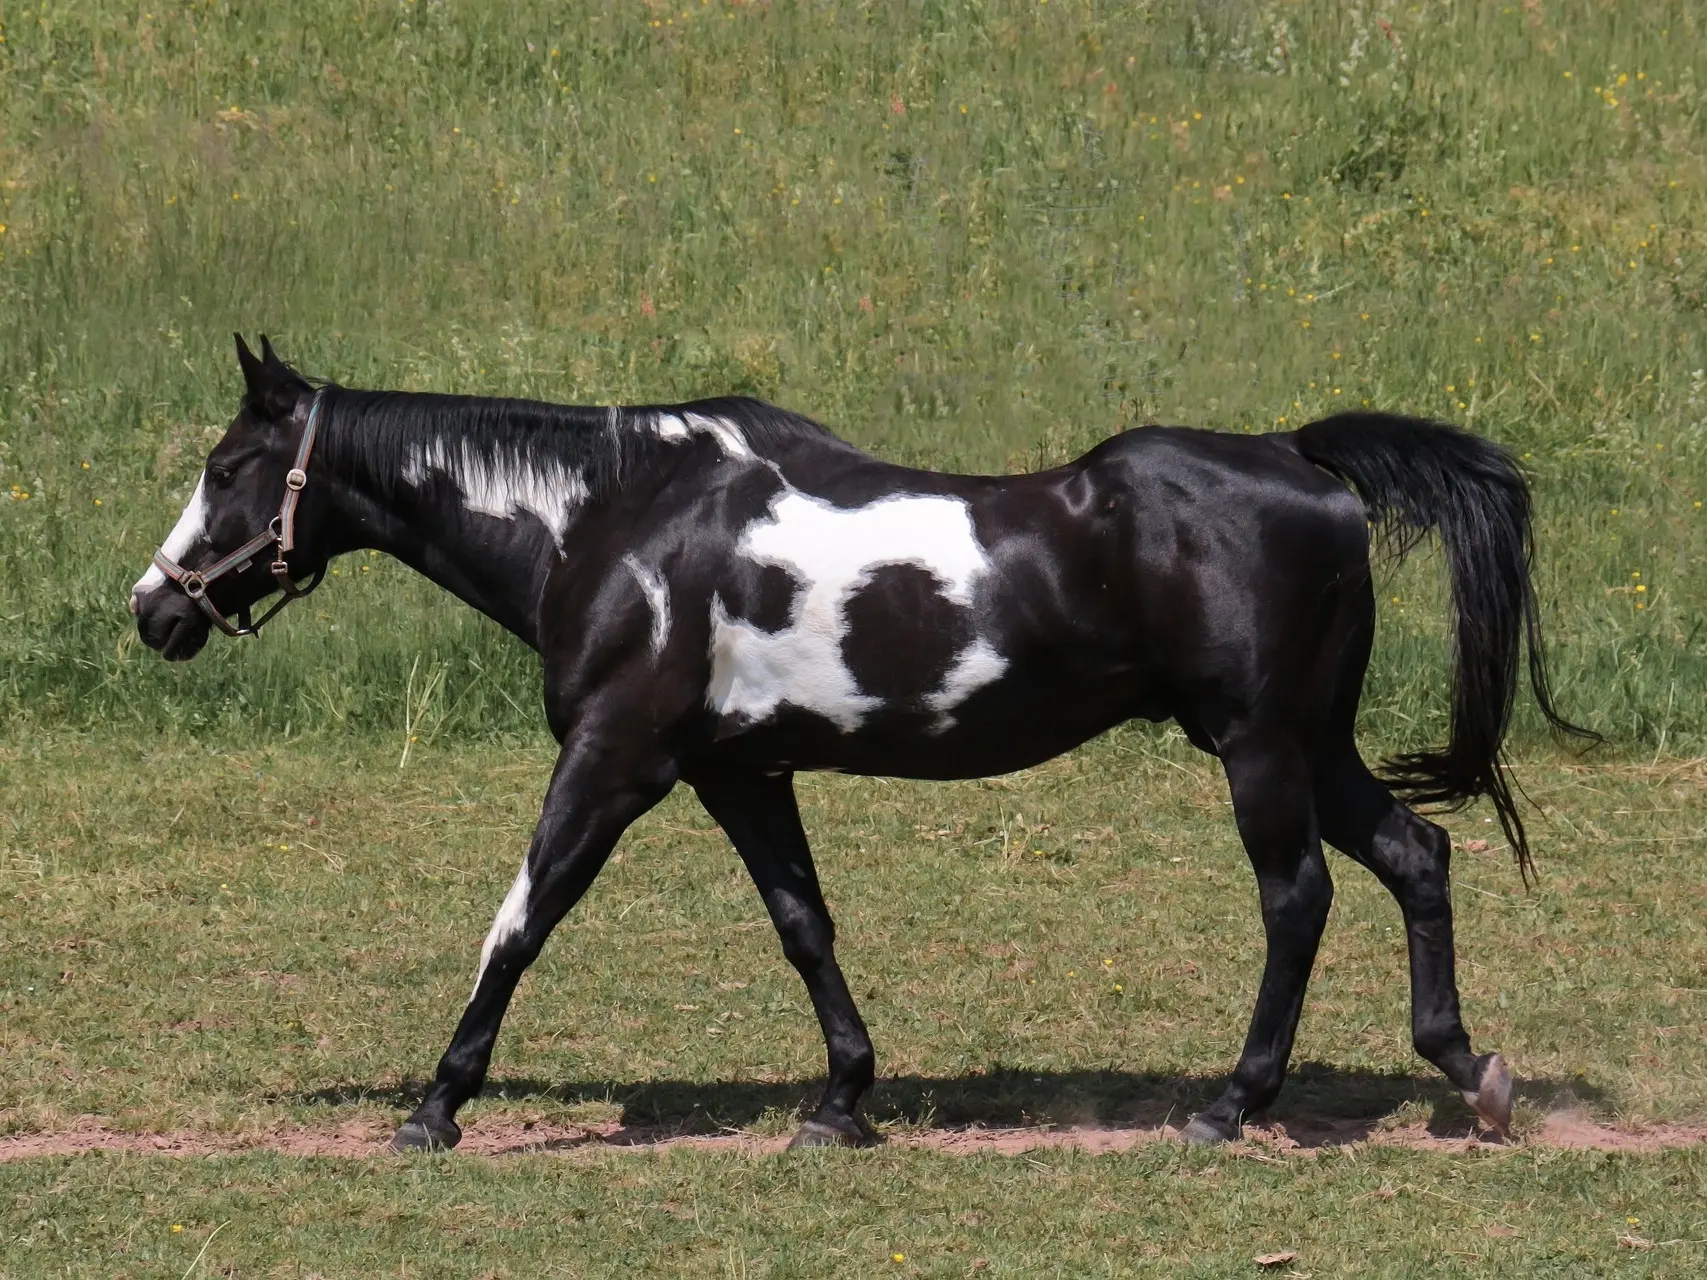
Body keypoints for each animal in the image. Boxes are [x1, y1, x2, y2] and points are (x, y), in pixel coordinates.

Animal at [133, 336, 1584, 1160]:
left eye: (229, 467)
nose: (154, 607)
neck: (617, 521)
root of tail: (1300, 459)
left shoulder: (615, 762)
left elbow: (522, 917)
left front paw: (436, 1105)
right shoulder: (740, 774)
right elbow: (803, 925)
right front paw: (841, 1101)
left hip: (1258, 749)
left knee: (1298, 899)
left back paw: (1234, 1104)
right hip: (1312, 744)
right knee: (1418, 855)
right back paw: (1470, 1071)